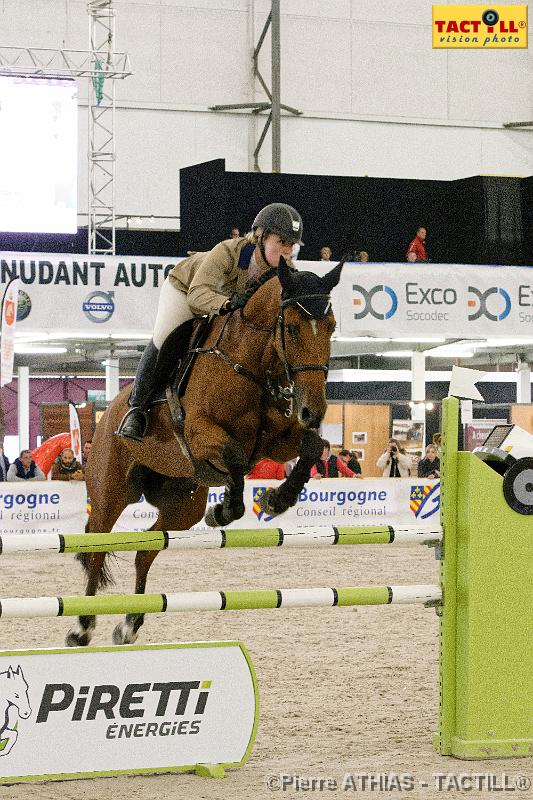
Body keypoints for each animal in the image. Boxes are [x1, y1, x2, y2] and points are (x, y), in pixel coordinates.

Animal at [66, 260, 342, 648]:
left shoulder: (275, 441)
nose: (313, 412)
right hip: (110, 492)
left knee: (146, 550)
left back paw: (129, 624)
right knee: (97, 548)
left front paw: (276, 499)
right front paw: (225, 509)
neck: (248, 362)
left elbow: (312, 448)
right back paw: (82, 627)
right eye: (290, 328)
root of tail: (106, 419)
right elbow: (236, 458)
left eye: (331, 327)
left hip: (182, 506)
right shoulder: (200, 435)